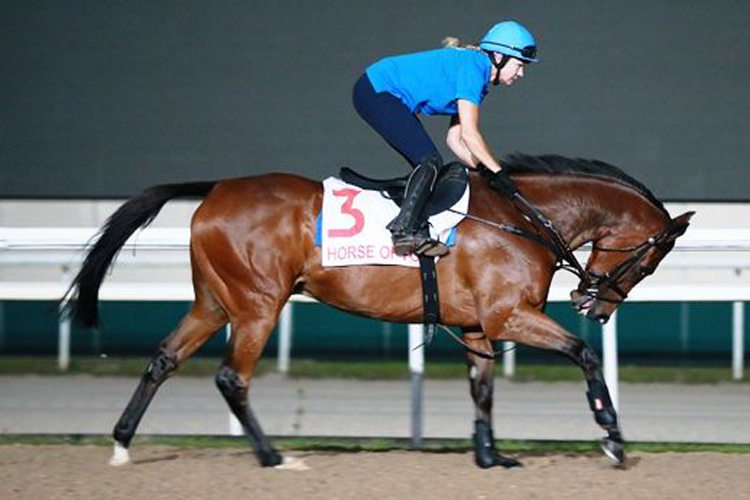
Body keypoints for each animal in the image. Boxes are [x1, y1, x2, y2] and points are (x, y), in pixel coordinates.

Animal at [67, 153, 696, 468]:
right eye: (651, 261)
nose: (594, 303)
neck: (524, 219)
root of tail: (217, 188)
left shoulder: (477, 322)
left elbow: (483, 387)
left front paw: (491, 457)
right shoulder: (507, 315)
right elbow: (584, 355)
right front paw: (612, 436)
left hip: (216, 301)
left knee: (163, 359)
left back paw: (121, 444)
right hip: (258, 304)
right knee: (230, 377)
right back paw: (272, 457)